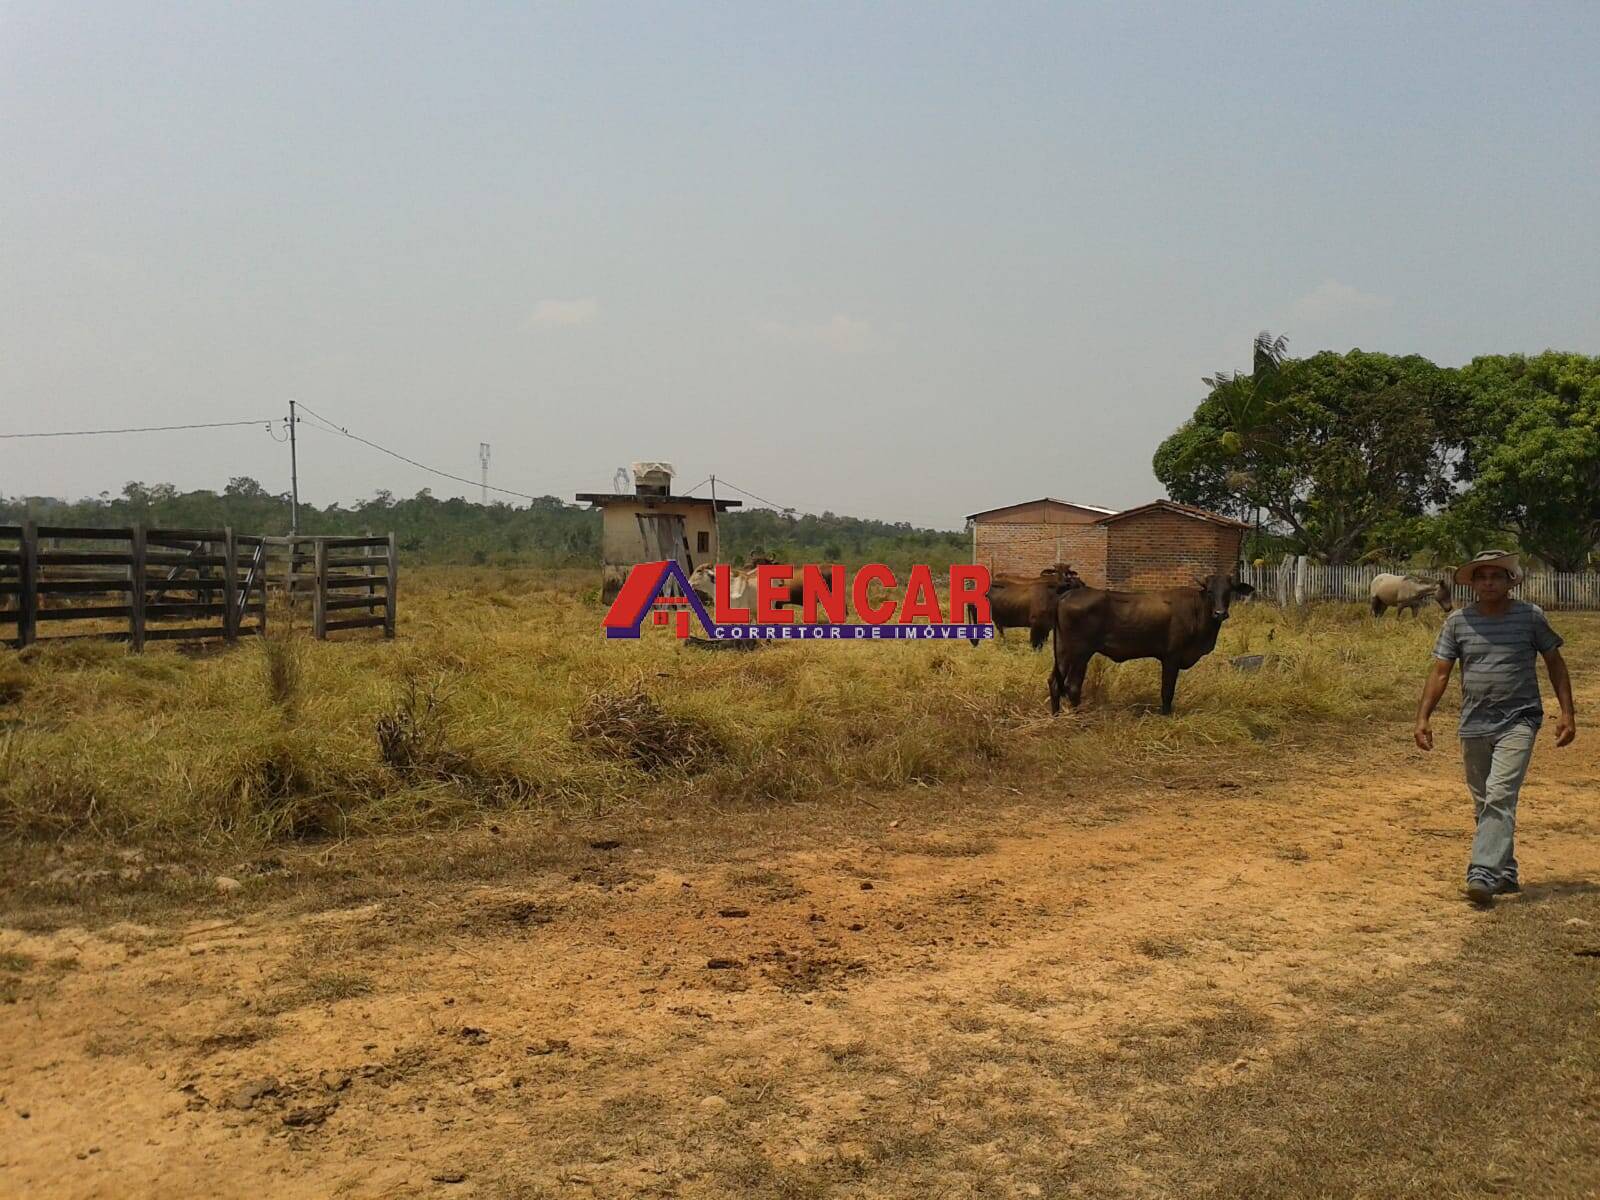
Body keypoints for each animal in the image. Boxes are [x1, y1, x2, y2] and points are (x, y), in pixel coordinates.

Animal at [1049, 579, 1260, 720]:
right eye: (1209, 591)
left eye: (1229, 590)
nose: (1220, 613)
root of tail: (1066, 595)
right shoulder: (1171, 657)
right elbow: (1167, 690)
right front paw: (1166, 715)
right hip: (1080, 653)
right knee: (1072, 686)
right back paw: (1079, 720)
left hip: (1063, 652)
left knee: (1054, 682)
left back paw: (1055, 715)